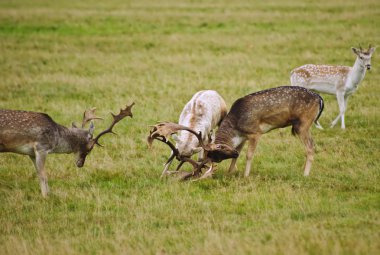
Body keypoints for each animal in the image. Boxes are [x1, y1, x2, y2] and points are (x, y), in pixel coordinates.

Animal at [0, 102, 135, 196]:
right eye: (90, 149)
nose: (80, 164)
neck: (56, 138)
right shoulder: (41, 147)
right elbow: (44, 175)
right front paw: (46, 197)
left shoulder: (31, 153)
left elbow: (39, 174)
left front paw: (48, 195)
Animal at [148, 86, 324, 180]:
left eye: (219, 153)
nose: (233, 153)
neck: (236, 125)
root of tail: (320, 99)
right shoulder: (243, 137)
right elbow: (239, 153)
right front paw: (230, 172)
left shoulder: (255, 132)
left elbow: (249, 155)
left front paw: (246, 175)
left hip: (303, 124)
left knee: (311, 147)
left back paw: (305, 175)